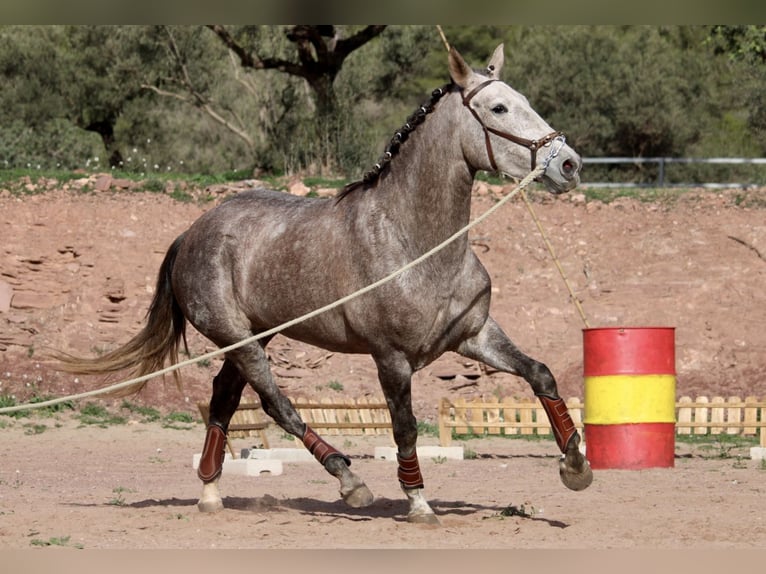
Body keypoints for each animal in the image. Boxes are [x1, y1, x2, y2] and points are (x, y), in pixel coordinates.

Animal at [61, 42, 600, 524]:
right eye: (498, 107)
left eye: (524, 99)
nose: (568, 164)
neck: (414, 241)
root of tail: (192, 233)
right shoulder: (391, 358)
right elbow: (405, 428)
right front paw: (419, 503)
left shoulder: (474, 336)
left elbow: (541, 375)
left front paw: (575, 464)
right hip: (237, 337)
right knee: (275, 404)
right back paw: (349, 480)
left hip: (254, 337)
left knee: (224, 398)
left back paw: (212, 493)